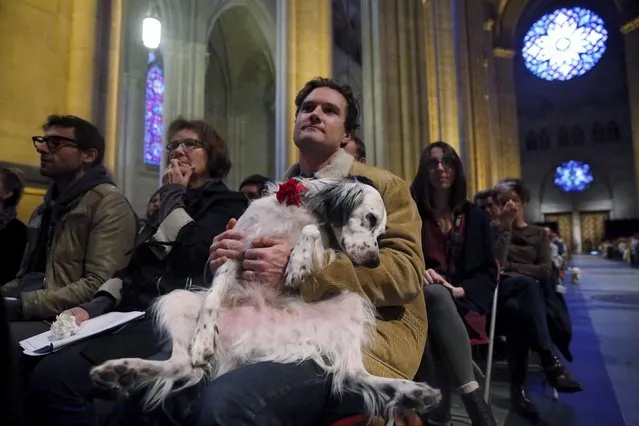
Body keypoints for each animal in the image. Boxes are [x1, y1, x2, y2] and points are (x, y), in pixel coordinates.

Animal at [90, 176, 440, 420]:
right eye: (369, 219)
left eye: (382, 233)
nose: (373, 262)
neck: (297, 207)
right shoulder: (235, 247)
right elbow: (213, 299)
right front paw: (203, 338)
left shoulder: (325, 245)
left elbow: (312, 231)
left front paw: (297, 263)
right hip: (177, 301)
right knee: (182, 364)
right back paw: (122, 370)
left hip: (350, 305)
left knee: (353, 373)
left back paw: (413, 392)